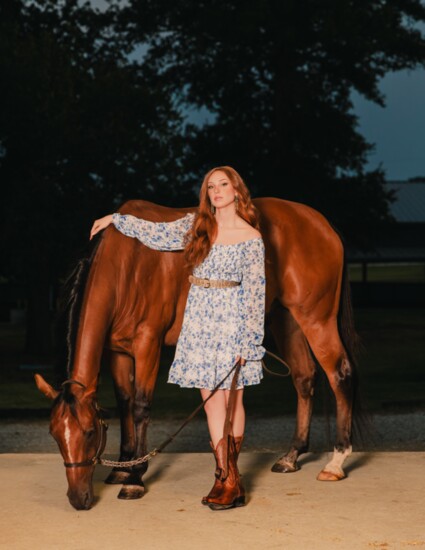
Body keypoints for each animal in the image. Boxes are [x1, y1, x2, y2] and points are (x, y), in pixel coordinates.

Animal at [35, 196, 358, 512]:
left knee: (339, 374)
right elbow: (125, 403)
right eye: (54, 433)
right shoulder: (118, 351)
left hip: (316, 319)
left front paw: (136, 477)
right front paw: (122, 468)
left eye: (90, 432)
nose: (78, 499)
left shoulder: (147, 345)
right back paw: (292, 456)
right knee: (304, 378)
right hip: (286, 319)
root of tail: (321, 223)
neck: (127, 262)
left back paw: (336, 461)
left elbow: (140, 407)